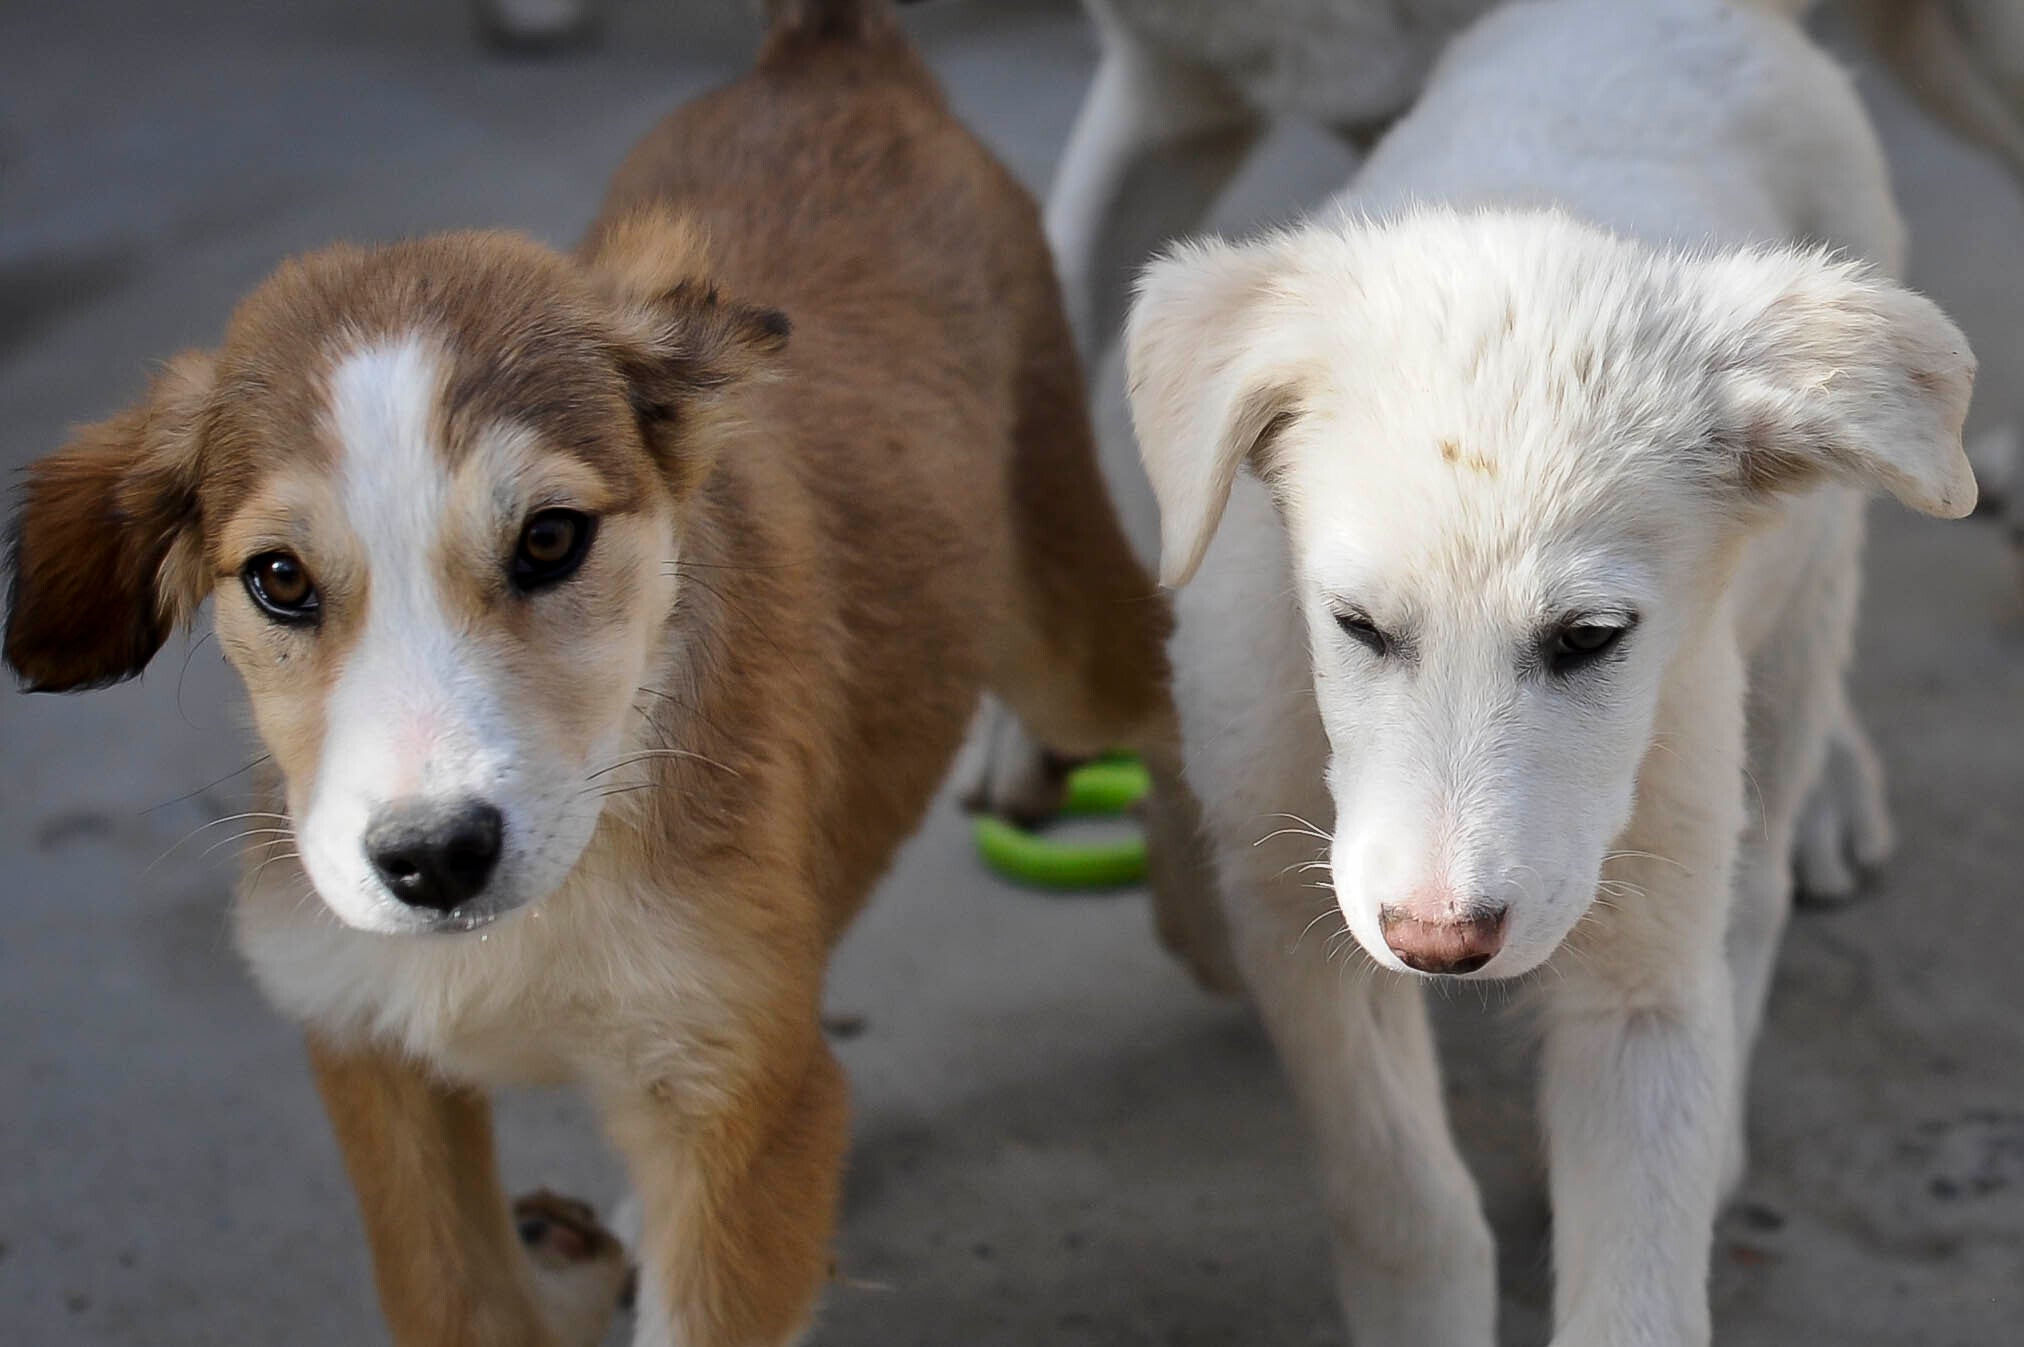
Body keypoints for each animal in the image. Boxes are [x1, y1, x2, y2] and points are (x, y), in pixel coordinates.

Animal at [3, 5, 1182, 1334]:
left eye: (550, 539)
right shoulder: (373, 1056)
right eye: (279, 579)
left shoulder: (743, 1120)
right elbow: (458, 1300)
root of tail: (826, 55)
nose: (432, 860)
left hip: (1059, 622)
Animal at [1133, 2, 1983, 1342]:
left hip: (1793, 633)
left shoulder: (1637, 979)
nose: (1438, 941)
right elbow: (1401, 1203)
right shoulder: (1292, 917)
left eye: (1588, 639)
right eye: (1353, 625)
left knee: (1752, 892)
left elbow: (1637, 1283)